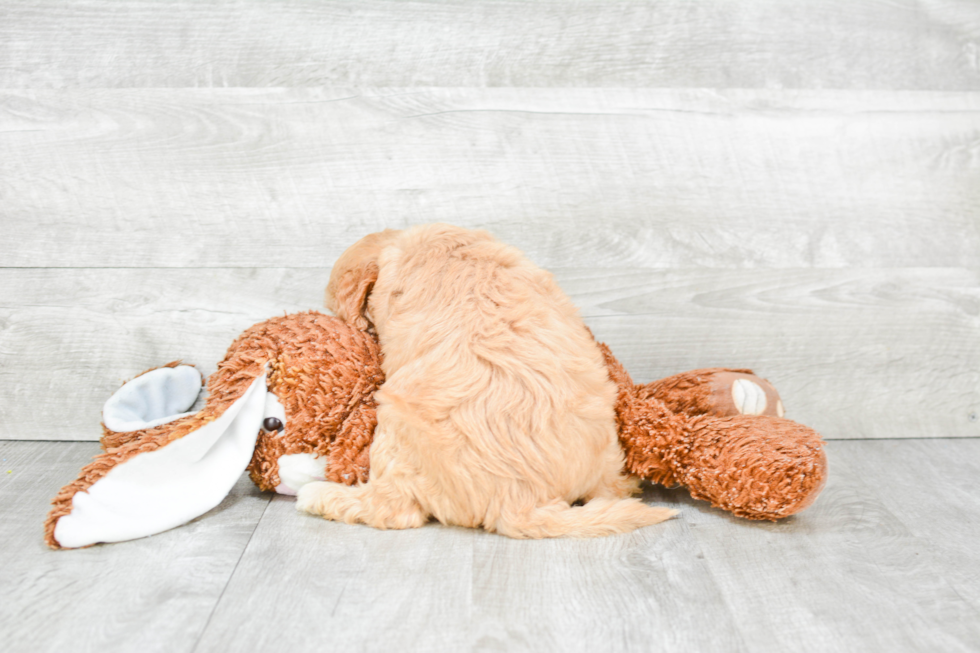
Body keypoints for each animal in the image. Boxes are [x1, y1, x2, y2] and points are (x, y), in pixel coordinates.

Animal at [296, 222, 672, 536]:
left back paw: (318, 494)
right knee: (616, 488)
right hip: (607, 451)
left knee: (392, 511)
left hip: (395, 427)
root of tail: (521, 501)